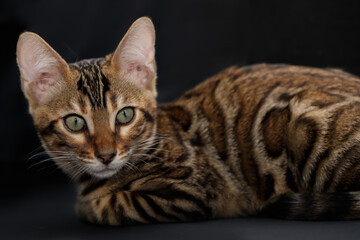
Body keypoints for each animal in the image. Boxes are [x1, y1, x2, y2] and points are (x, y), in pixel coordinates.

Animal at [17, 17, 360, 225]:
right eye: (75, 123)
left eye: (125, 115)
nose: (106, 155)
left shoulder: (196, 190)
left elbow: (108, 205)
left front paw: (88, 205)